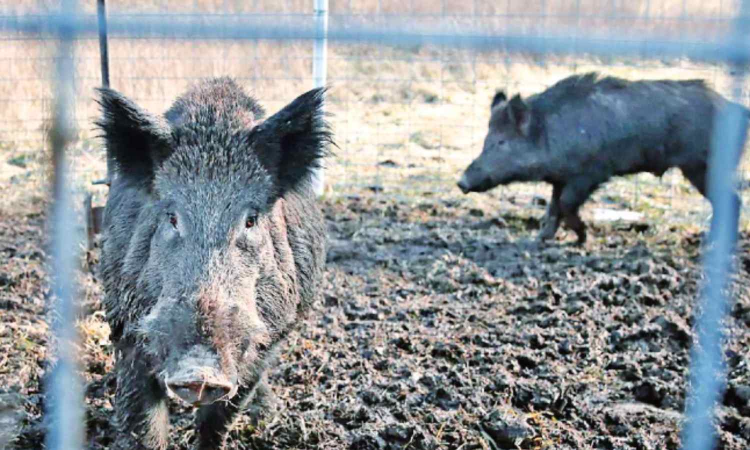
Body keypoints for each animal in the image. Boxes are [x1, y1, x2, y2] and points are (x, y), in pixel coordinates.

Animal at [97, 77, 331, 449]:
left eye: (250, 220)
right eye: (172, 217)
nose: (200, 372)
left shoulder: (265, 341)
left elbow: (218, 421)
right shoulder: (126, 327)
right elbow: (143, 424)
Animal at [458, 72, 748, 244]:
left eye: (501, 142)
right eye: (485, 139)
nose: (461, 182)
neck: (552, 133)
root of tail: (739, 111)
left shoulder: (590, 173)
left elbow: (565, 204)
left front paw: (581, 238)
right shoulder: (560, 178)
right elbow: (552, 208)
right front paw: (540, 240)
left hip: (704, 166)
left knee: (732, 200)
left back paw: (714, 243)